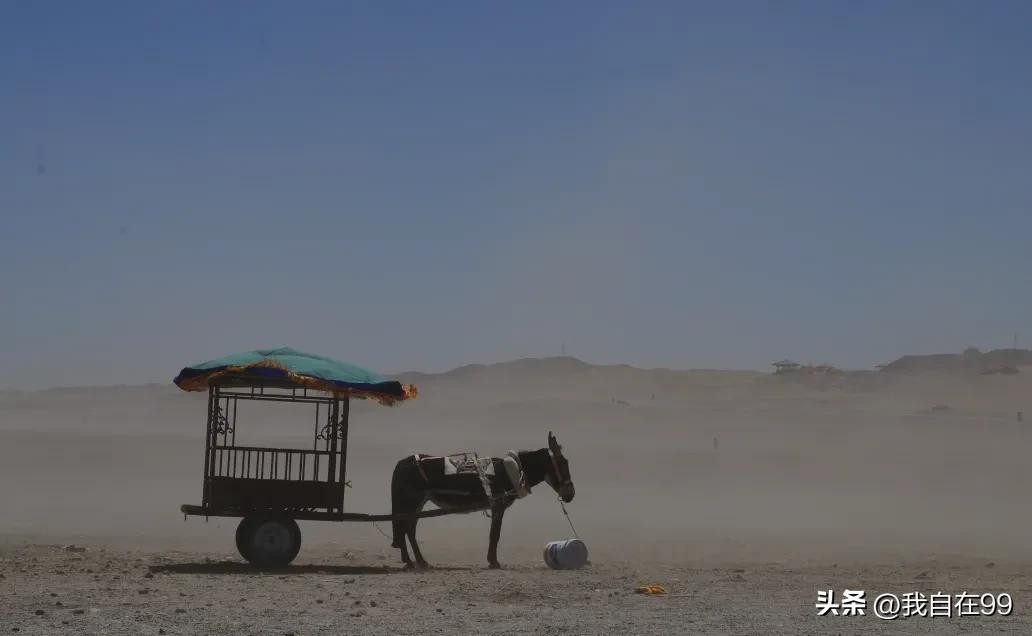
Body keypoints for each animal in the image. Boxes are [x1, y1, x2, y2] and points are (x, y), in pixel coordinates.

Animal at [390, 432, 574, 569]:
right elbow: (495, 534)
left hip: (417, 503)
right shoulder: (498, 507)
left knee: (408, 529)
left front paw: (492, 560)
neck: (512, 471)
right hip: (412, 501)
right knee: (405, 528)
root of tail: (403, 463)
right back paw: (413, 562)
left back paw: (417, 561)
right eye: (562, 463)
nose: (570, 495)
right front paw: (494, 562)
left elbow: (494, 534)